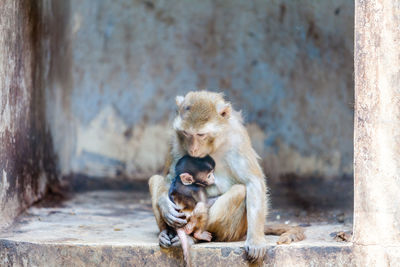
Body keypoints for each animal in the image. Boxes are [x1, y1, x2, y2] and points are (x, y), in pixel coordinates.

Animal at [149, 91, 304, 262]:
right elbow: (169, 176)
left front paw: (256, 241)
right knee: (155, 179)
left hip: (234, 230)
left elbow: (253, 182)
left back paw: (194, 237)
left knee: (239, 191)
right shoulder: (176, 139)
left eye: (201, 134)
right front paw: (166, 206)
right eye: (186, 133)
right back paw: (165, 233)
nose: (193, 149)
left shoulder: (237, 139)